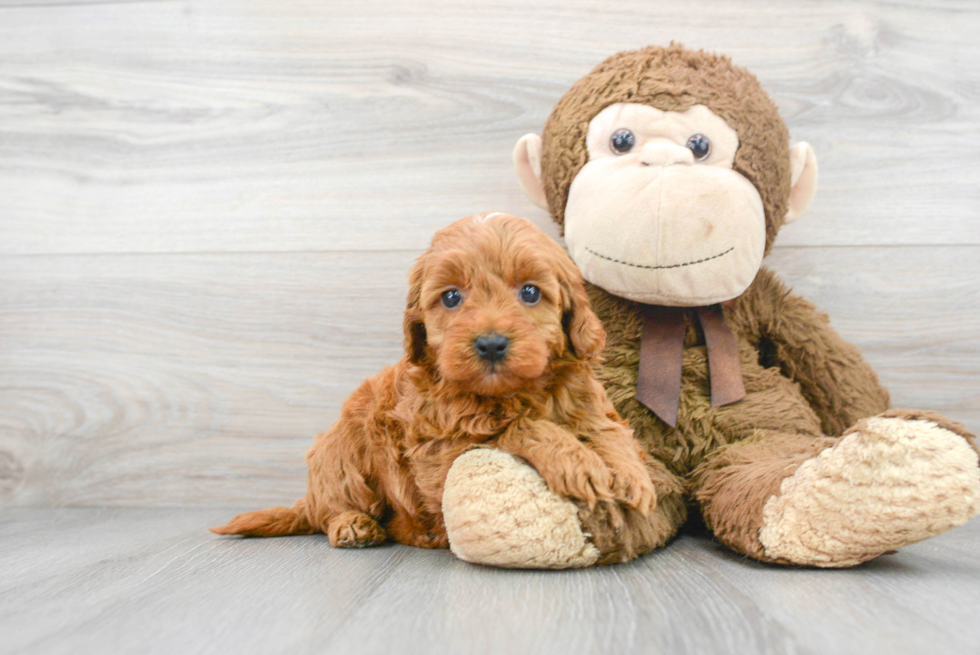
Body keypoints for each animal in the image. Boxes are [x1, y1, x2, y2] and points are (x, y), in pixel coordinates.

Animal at [215, 214, 660, 548]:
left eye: (531, 293)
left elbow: (610, 433)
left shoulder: (590, 405)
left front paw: (631, 476)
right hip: (342, 453)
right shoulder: (439, 453)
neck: (513, 393)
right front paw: (577, 462)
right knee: (332, 508)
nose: (491, 344)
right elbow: (516, 427)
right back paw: (353, 525)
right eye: (451, 297)